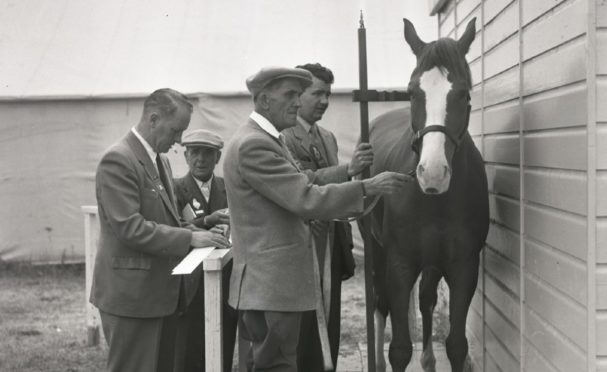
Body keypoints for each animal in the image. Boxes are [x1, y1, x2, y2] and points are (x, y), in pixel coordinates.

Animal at [364, 17, 492, 372]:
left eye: (463, 94)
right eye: (412, 92)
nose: (432, 172)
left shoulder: (464, 267)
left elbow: (457, 345)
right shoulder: (399, 264)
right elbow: (399, 349)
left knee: (424, 300)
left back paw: (428, 360)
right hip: (376, 249)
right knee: (380, 304)